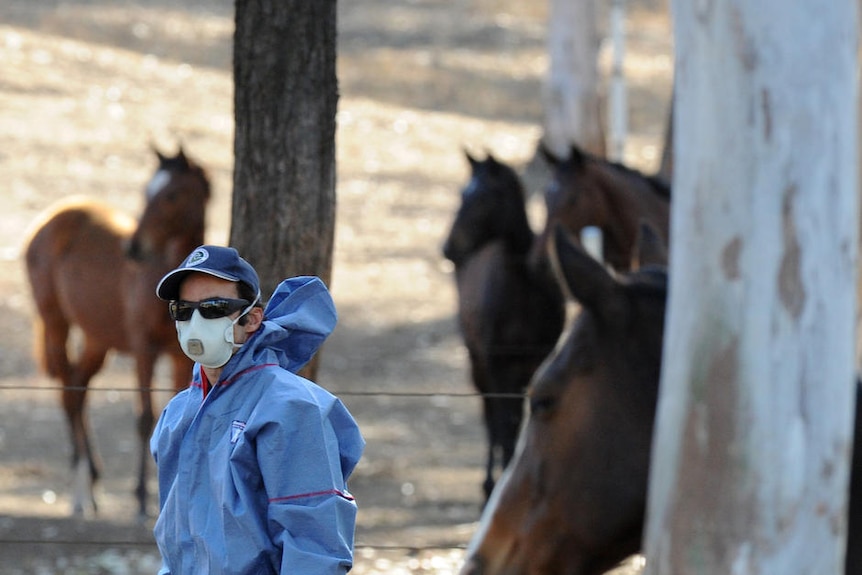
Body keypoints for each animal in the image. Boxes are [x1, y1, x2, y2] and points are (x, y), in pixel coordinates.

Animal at [25, 146, 209, 520]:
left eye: (172, 195)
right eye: (146, 191)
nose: (134, 248)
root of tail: (49, 219)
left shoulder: (180, 356)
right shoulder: (144, 350)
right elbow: (145, 418)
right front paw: (140, 497)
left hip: (97, 341)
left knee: (78, 389)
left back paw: (93, 483)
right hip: (56, 323)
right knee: (68, 393)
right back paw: (81, 492)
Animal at [442, 151, 572, 502]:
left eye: (485, 196)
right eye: (462, 193)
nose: (448, 249)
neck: (523, 292)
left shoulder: (534, 363)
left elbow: (518, 422)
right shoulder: (496, 362)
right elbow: (501, 424)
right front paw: (496, 484)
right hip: (477, 361)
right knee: (490, 416)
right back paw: (488, 482)